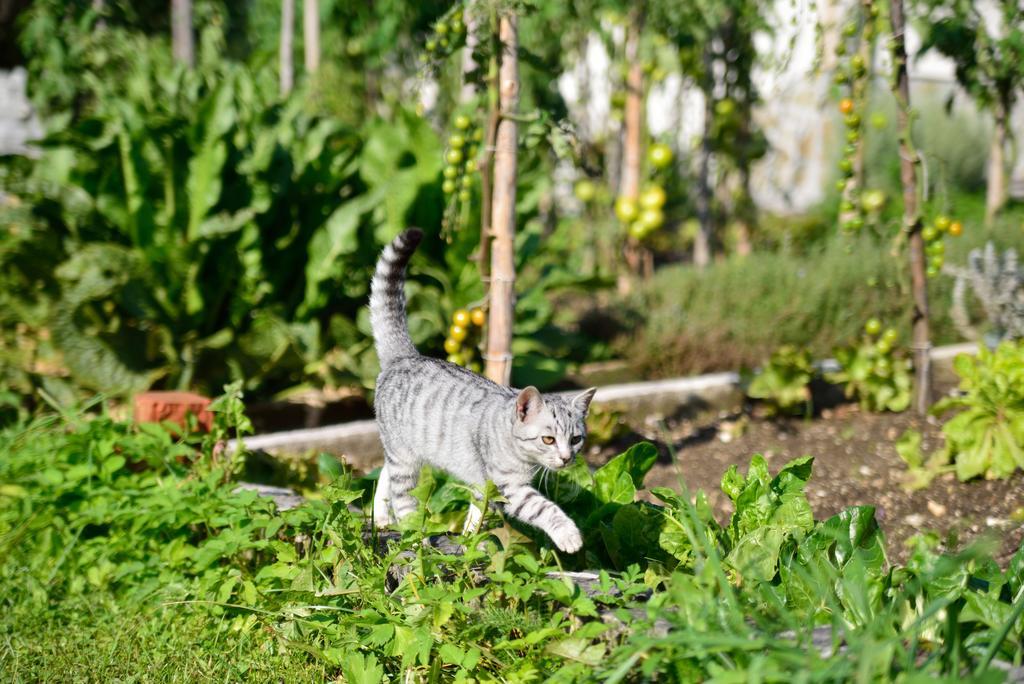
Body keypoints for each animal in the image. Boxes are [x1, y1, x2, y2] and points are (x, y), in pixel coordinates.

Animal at [368, 227, 598, 552]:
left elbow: (477, 512)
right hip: (404, 455)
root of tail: (405, 356)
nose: (567, 458)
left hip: (402, 451)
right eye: (549, 439)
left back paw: (381, 518)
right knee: (403, 498)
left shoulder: (485, 485)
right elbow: (543, 508)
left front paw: (469, 541)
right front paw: (569, 535)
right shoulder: (510, 487)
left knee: (385, 475)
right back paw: (418, 542)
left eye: (576, 439)